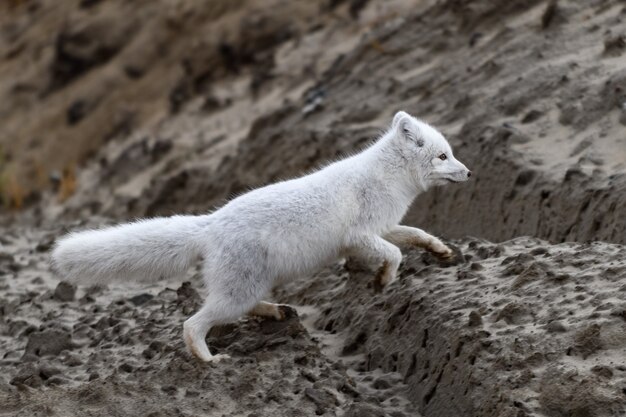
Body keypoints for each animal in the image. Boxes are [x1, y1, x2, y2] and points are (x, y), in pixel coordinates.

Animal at [52, 110, 468, 360]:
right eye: (443, 156)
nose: (468, 172)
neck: (388, 179)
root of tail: (211, 223)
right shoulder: (360, 235)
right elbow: (392, 254)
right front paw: (383, 280)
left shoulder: (385, 227)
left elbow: (415, 233)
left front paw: (441, 251)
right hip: (239, 287)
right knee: (192, 323)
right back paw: (209, 360)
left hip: (248, 283)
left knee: (238, 306)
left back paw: (278, 312)